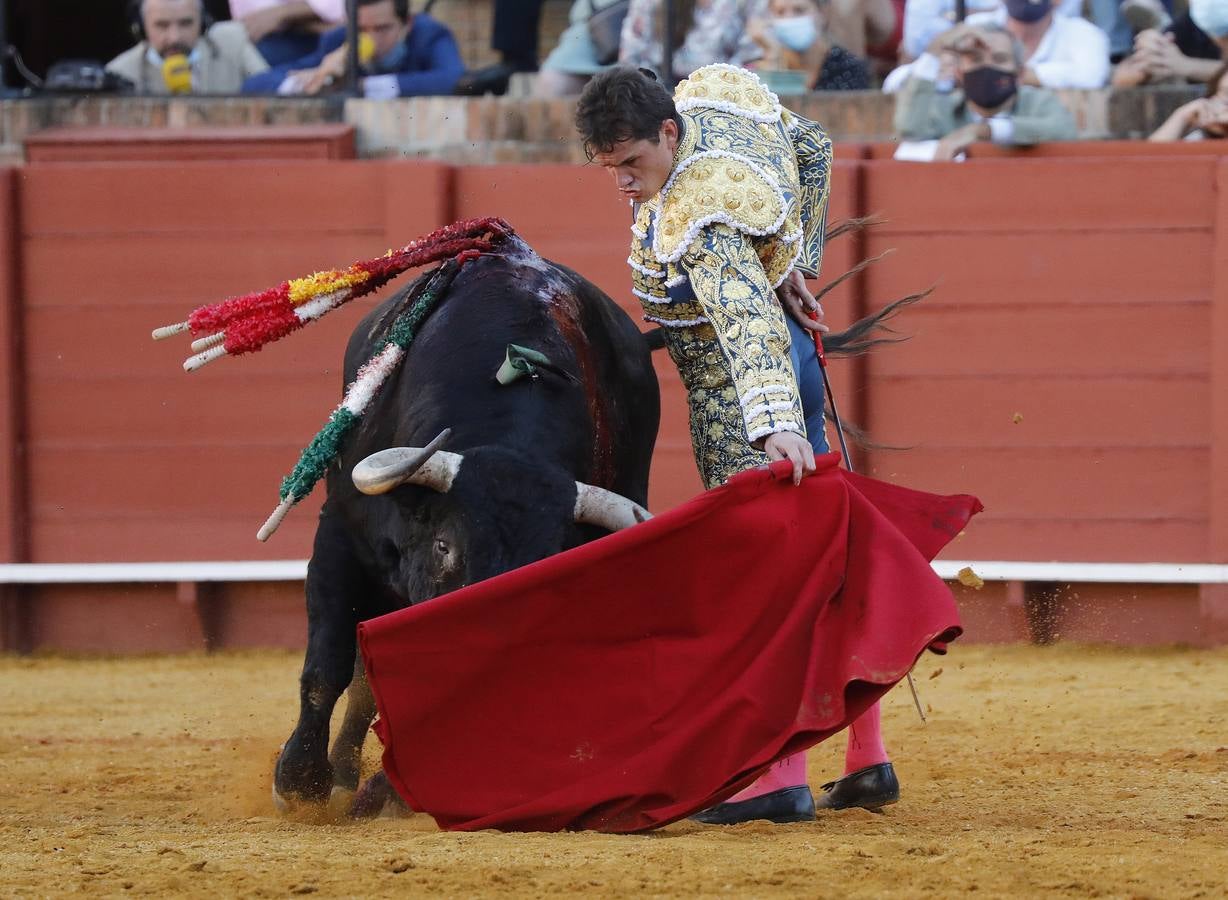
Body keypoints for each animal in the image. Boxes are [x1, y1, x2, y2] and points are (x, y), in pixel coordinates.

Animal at [273, 235, 663, 805]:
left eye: (549, 565)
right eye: (444, 546)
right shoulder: (340, 531)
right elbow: (329, 661)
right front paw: (300, 782)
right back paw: (343, 775)